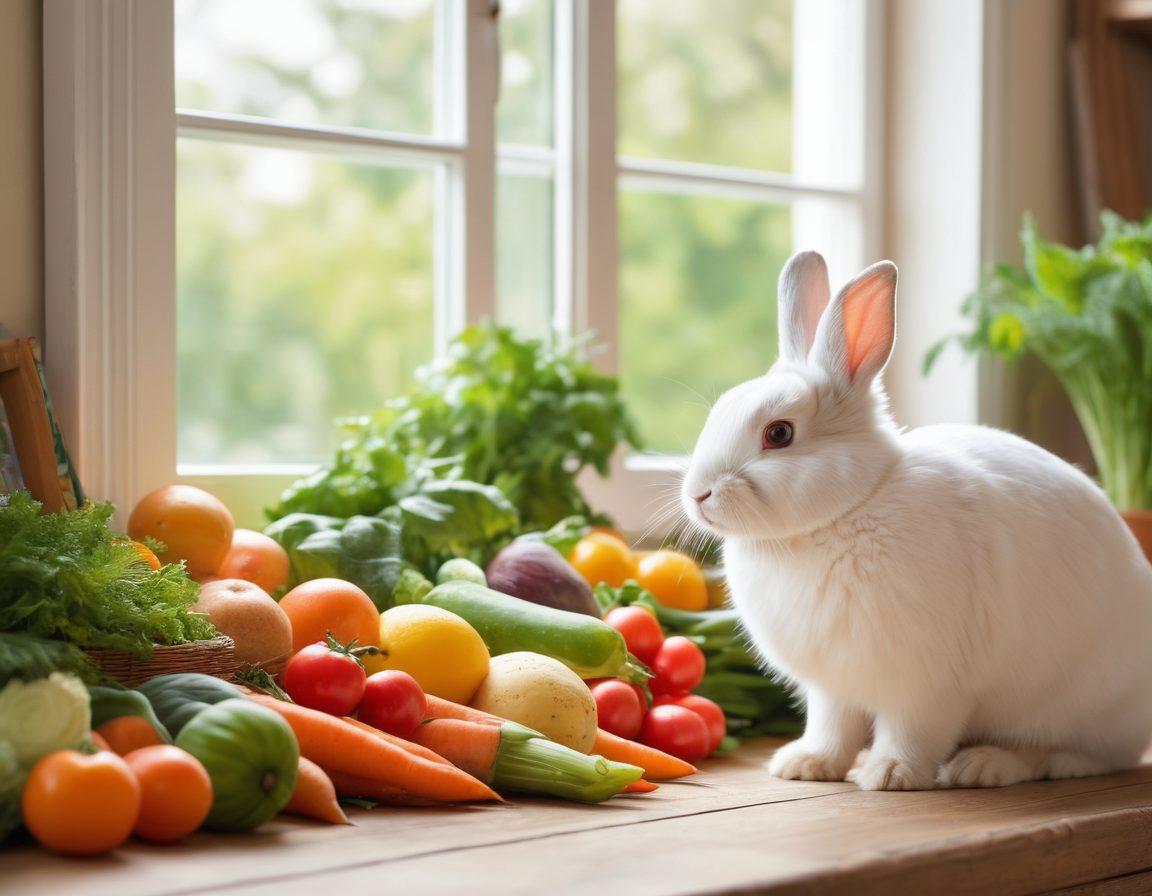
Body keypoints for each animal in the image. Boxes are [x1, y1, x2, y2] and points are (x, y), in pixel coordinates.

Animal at [680, 250, 1152, 790]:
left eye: (778, 433)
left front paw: (891, 774)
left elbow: (913, 730)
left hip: (1069, 705)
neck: (847, 510)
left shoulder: (926, 684)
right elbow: (832, 727)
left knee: (1072, 754)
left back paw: (985, 765)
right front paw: (807, 765)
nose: (697, 494)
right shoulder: (832, 686)